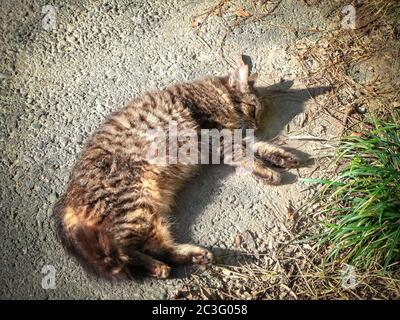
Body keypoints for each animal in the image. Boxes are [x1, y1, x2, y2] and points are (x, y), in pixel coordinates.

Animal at [55, 56, 300, 278]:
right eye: (254, 109)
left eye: (260, 112)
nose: (256, 125)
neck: (214, 94)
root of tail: (66, 198)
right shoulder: (218, 136)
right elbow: (245, 156)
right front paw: (267, 171)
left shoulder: (233, 136)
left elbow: (259, 146)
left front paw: (283, 157)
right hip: (134, 205)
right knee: (125, 252)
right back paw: (160, 267)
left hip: (149, 210)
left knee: (153, 246)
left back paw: (193, 257)